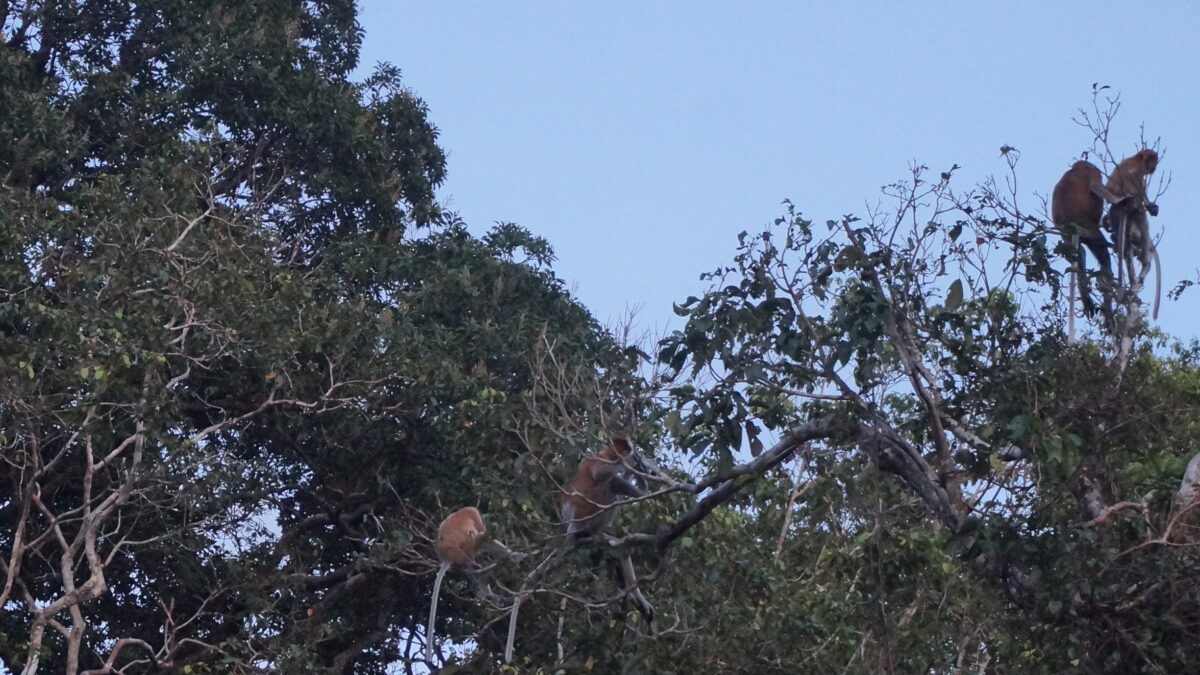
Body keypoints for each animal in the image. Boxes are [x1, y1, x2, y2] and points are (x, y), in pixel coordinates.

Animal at [504, 437, 654, 663]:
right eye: (622, 448)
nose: (627, 451)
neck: (607, 454)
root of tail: (572, 528)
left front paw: (639, 467)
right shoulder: (600, 460)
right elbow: (600, 475)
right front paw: (634, 460)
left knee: (622, 550)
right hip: (589, 512)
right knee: (611, 483)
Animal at [1052, 160, 1120, 321]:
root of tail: (1070, 223)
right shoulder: (1092, 173)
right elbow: (1096, 187)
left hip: (1066, 234)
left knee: (1079, 253)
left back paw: (1087, 301)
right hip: (1089, 228)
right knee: (1102, 253)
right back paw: (1107, 309)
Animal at [1103, 149, 1161, 318]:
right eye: (1152, 159)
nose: (1154, 165)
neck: (1136, 158)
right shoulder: (1137, 169)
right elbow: (1134, 175)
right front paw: (1149, 205)